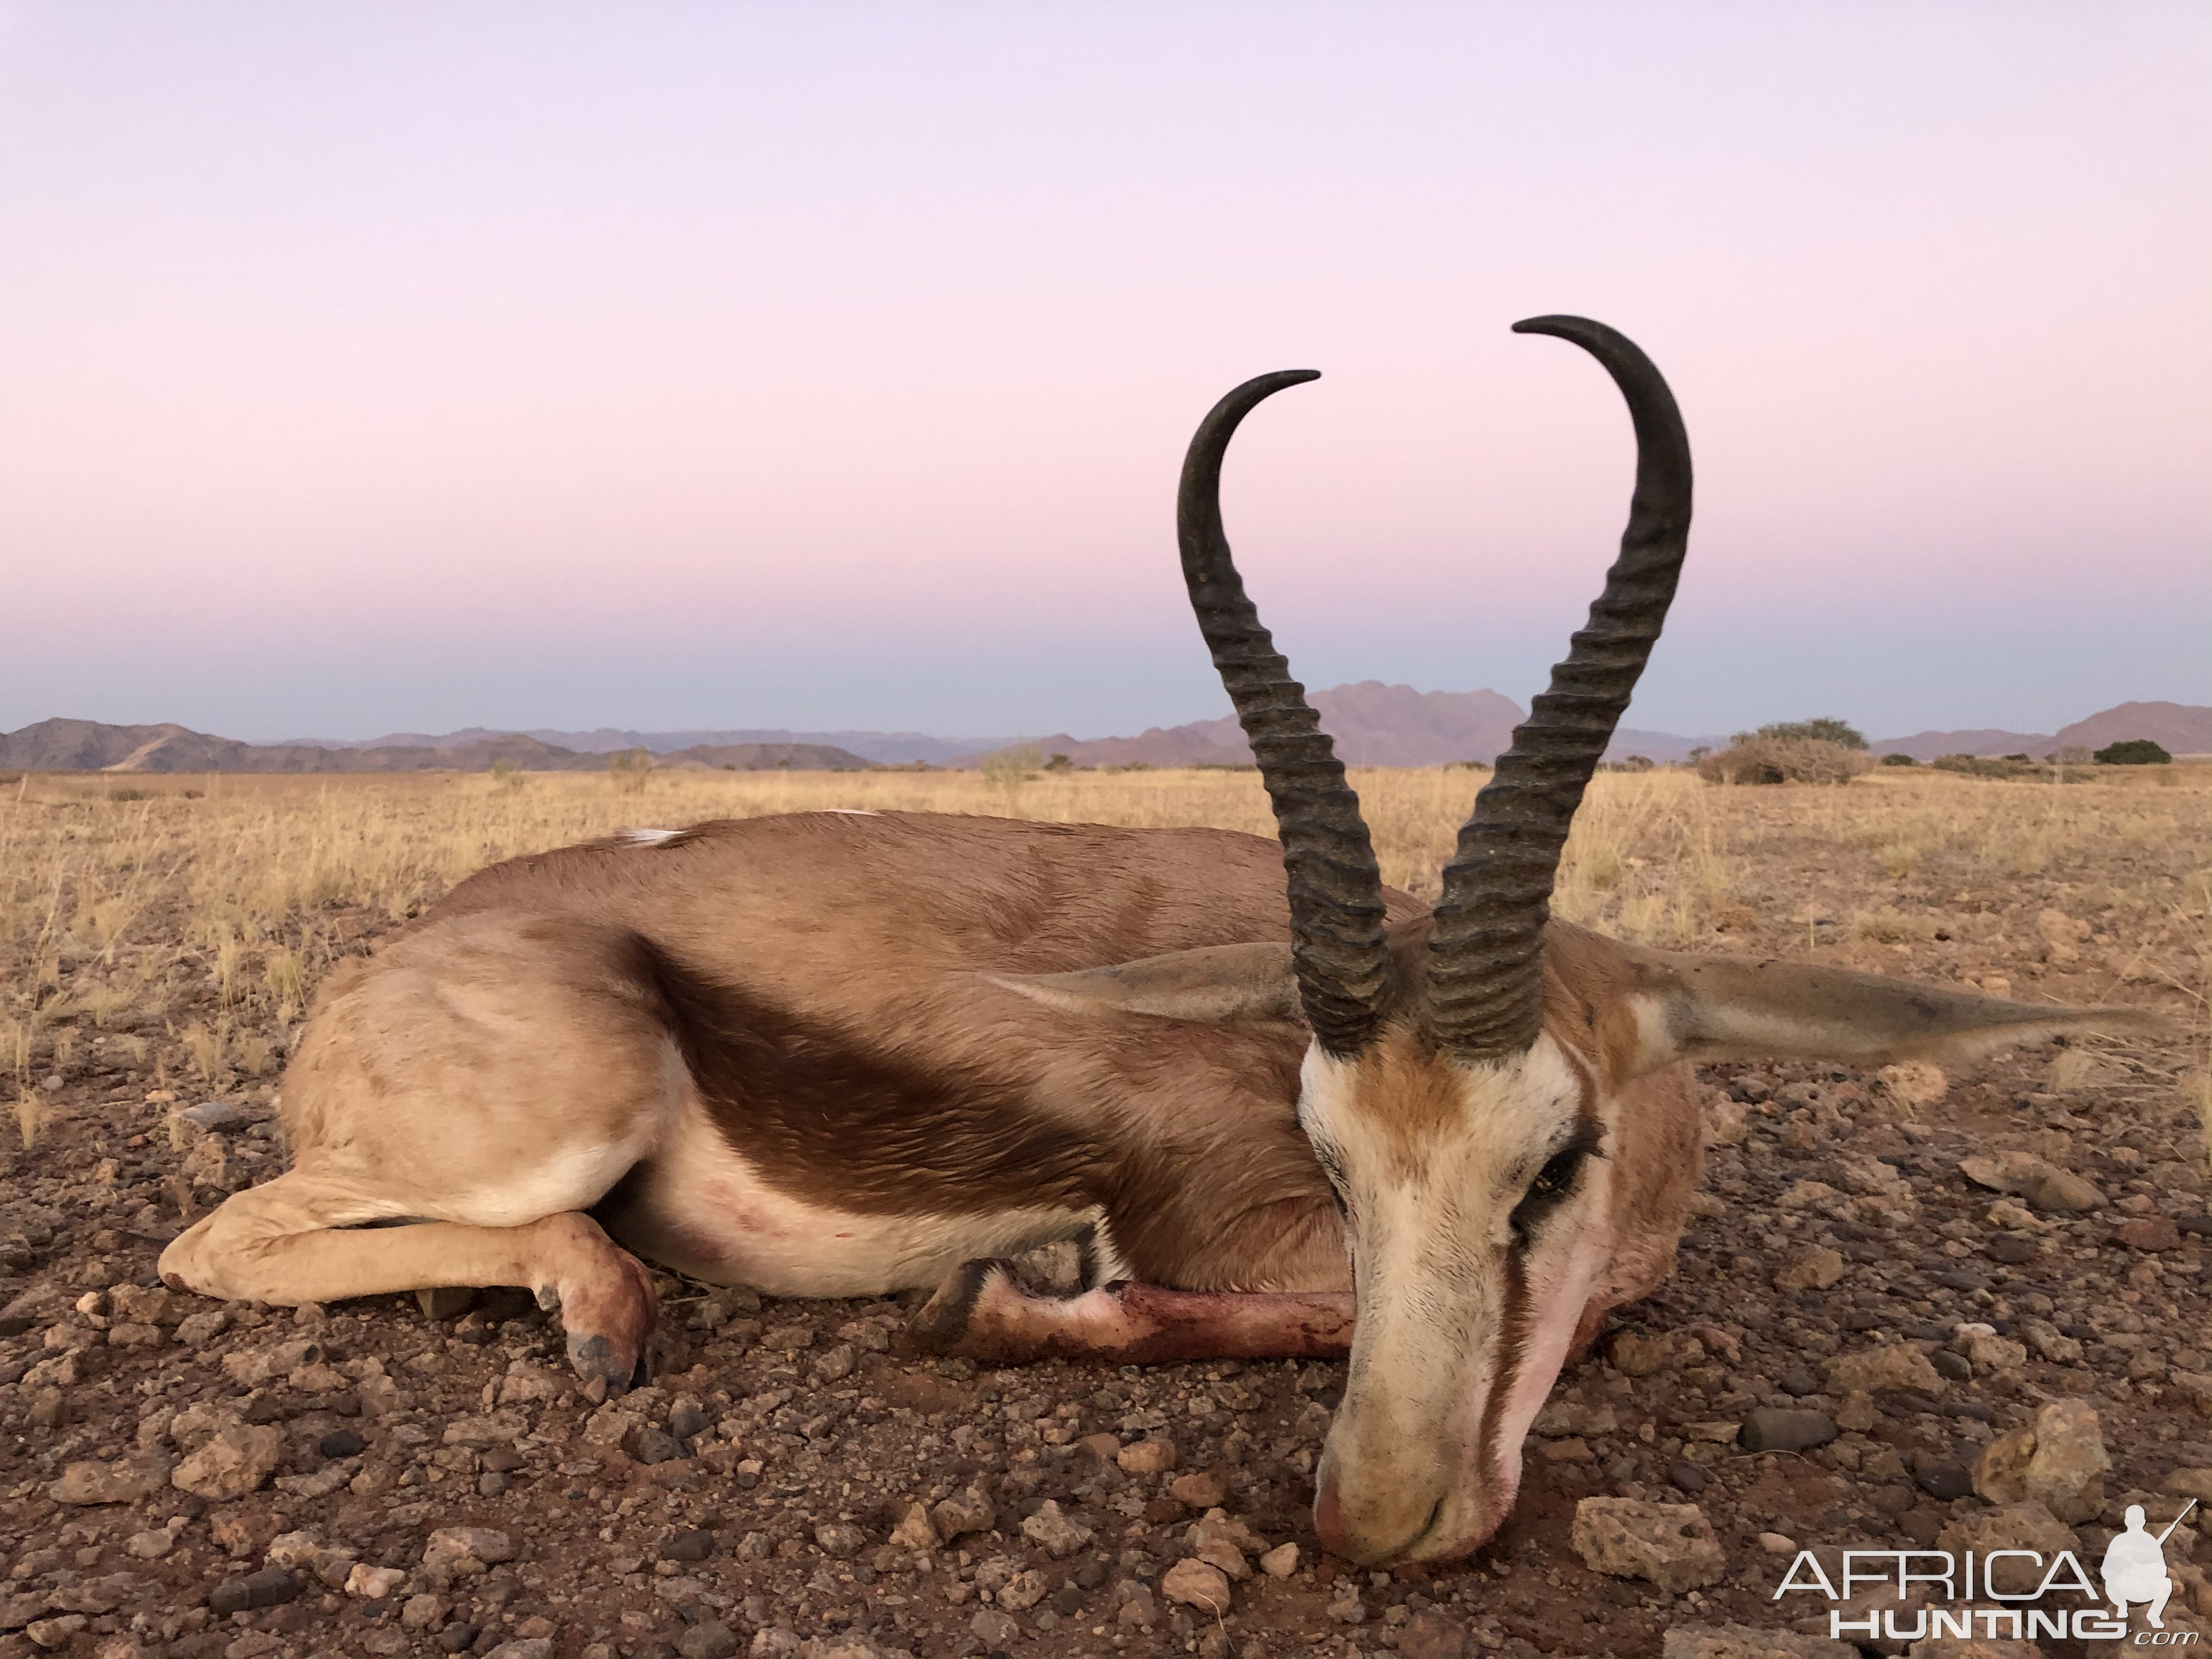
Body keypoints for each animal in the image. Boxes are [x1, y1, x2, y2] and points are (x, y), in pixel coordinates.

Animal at [151, 318, 2141, 1566]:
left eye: (1554, 1155)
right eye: (1327, 1155)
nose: (1379, 1524)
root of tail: (408, 947)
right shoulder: (1216, 1214)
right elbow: (1244, 1300)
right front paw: (1015, 1295)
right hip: (566, 1115)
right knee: (218, 1242)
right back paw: (599, 1308)